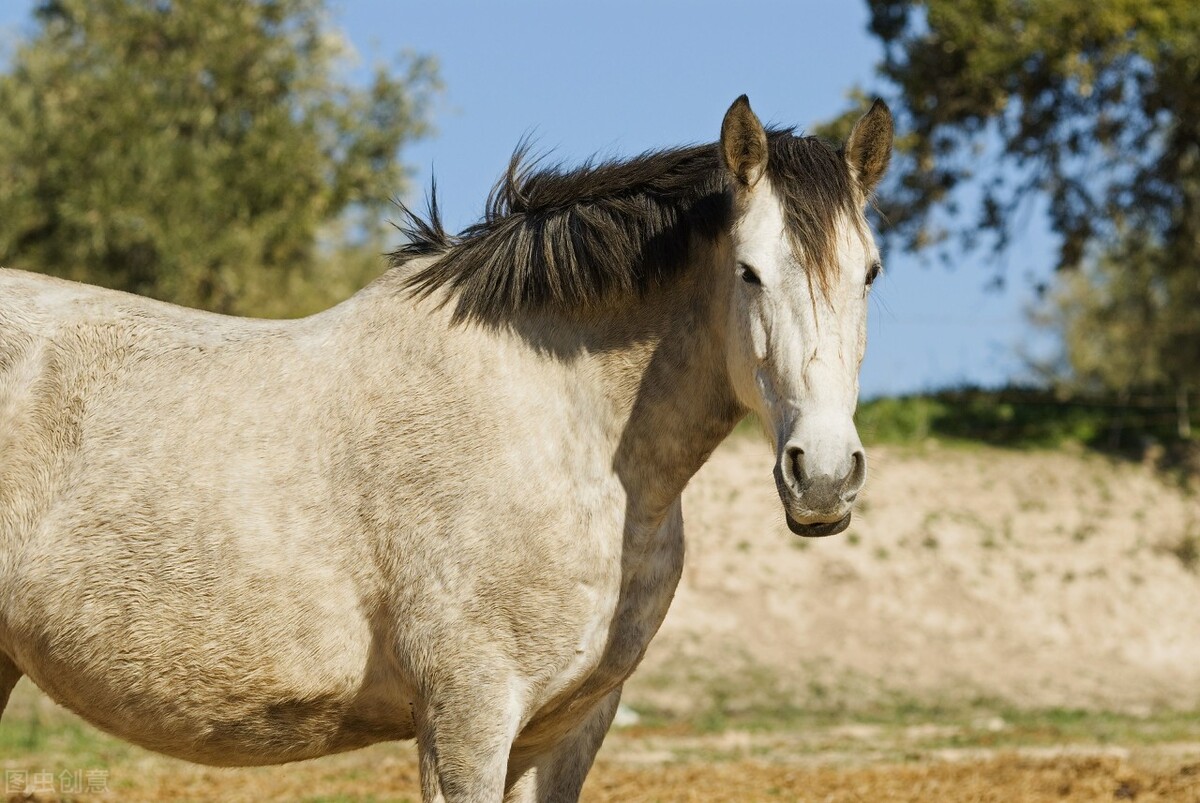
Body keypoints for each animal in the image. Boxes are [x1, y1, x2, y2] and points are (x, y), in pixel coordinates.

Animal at [0, 97, 892, 796]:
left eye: (872, 273)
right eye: (749, 272)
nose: (822, 476)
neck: (560, 432)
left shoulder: (568, 727)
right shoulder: (468, 714)